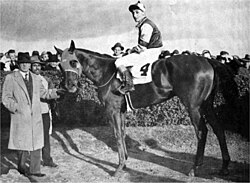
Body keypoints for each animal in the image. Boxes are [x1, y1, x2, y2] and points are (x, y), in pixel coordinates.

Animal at [57, 40, 238, 177]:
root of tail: (206, 60)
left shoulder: (112, 110)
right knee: (219, 129)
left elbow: (117, 135)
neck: (106, 72)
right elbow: (122, 132)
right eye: (60, 65)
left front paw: (119, 167)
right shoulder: (121, 111)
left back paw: (194, 169)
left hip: (193, 106)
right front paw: (125, 161)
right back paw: (224, 167)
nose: (69, 86)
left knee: (202, 132)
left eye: (73, 61)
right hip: (207, 104)